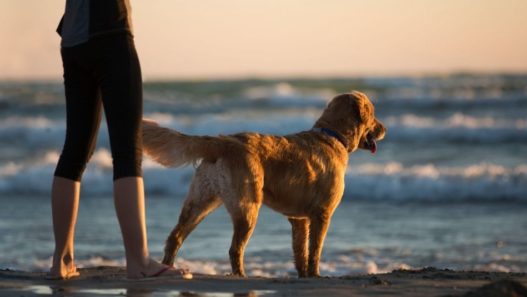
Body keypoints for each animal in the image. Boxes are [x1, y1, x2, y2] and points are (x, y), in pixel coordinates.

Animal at [142, 91, 386, 278]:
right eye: (374, 115)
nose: (384, 129)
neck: (332, 136)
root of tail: (223, 141)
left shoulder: (299, 219)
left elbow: (300, 251)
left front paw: (303, 275)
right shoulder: (322, 214)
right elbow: (315, 250)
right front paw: (315, 275)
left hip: (200, 202)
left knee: (175, 237)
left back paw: (168, 267)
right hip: (247, 207)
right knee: (234, 249)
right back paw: (240, 275)